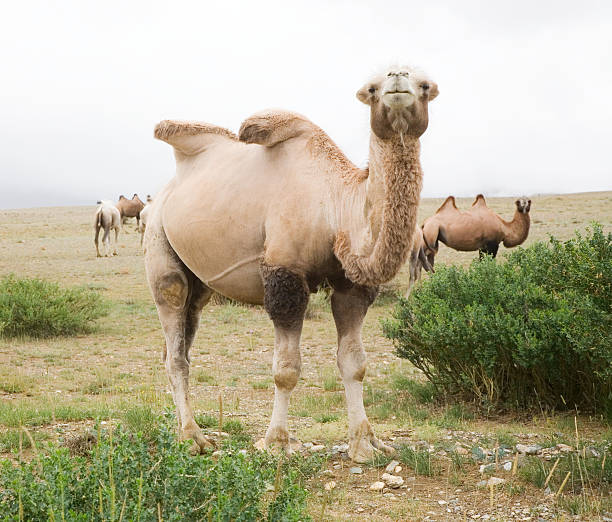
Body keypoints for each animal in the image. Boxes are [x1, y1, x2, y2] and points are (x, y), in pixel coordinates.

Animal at [145, 65, 438, 460]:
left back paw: (185, 430)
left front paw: (365, 443)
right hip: (159, 246)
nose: (397, 78)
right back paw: (194, 437)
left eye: (425, 85)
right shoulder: (284, 274)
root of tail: (160, 196)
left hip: (199, 283)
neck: (335, 205)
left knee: (181, 341)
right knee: (174, 335)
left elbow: (355, 364)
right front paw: (277, 441)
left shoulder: (351, 285)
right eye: (372, 89)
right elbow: (286, 369)